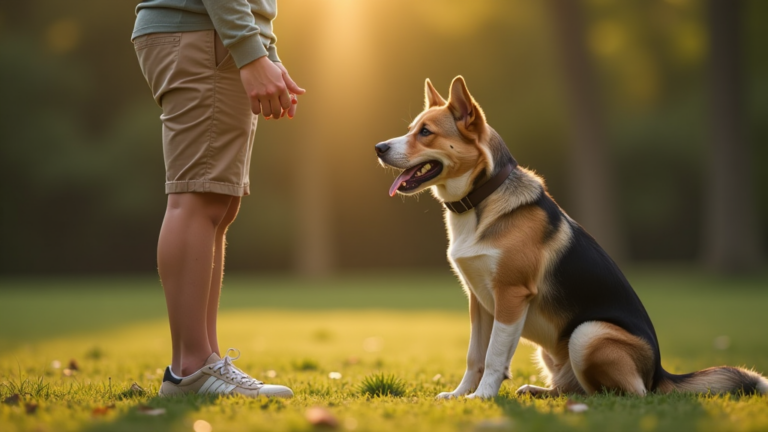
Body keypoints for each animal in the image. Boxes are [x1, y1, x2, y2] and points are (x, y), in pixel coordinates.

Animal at [376, 75, 768, 398]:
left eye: (426, 132)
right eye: (412, 128)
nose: (378, 147)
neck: (481, 201)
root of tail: (659, 373)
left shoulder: (510, 296)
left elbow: (494, 356)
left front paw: (482, 398)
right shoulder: (479, 301)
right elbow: (476, 356)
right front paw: (460, 396)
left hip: (587, 333)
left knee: (621, 394)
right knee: (573, 388)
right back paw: (539, 391)